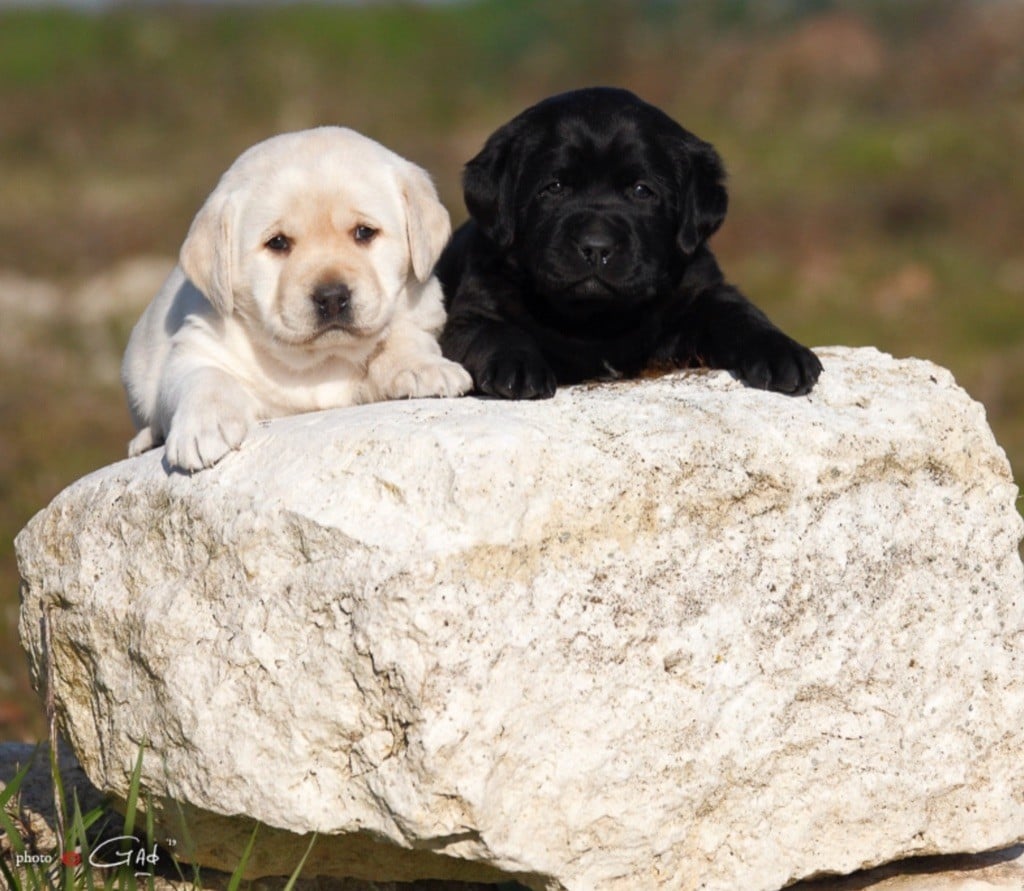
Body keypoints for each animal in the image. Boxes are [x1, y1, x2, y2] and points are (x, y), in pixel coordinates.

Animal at [122, 129, 471, 475]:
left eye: (364, 232)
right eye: (277, 243)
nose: (332, 297)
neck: (319, 361)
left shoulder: (419, 309)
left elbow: (402, 338)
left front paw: (423, 367)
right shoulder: (198, 343)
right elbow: (205, 377)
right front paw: (203, 427)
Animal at [440, 88, 823, 401]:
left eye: (642, 190)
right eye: (554, 187)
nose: (596, 246)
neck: (597, 319)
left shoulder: (701, 290)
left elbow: (739, 313)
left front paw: (783, 353)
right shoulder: (471, 309)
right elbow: (491, 331)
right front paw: (516, 366)